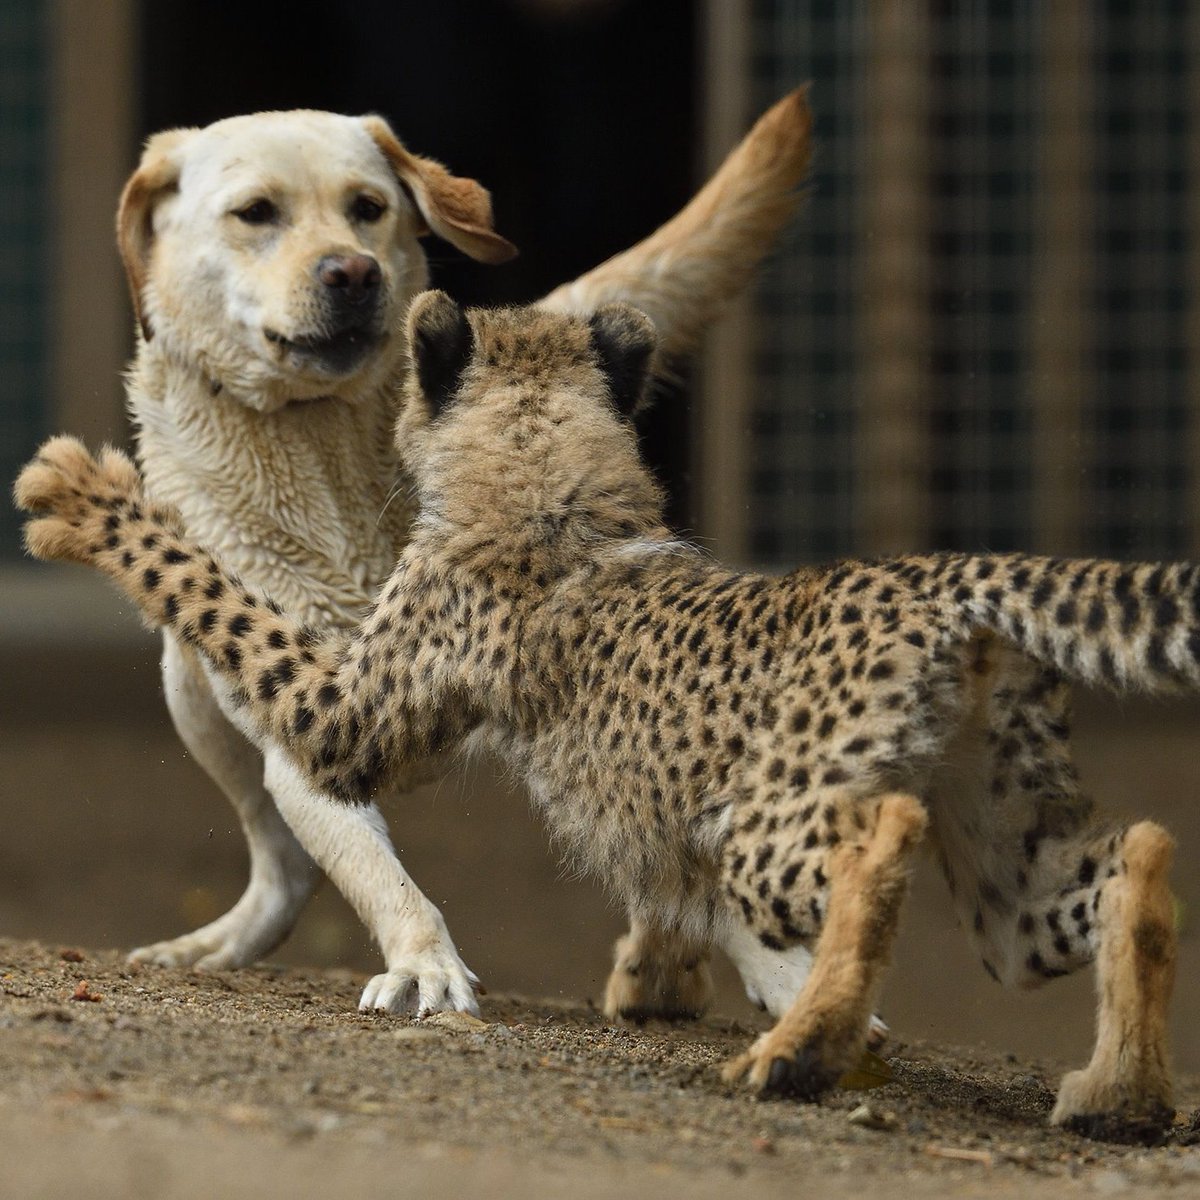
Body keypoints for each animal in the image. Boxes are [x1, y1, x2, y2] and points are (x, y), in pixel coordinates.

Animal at [114, 91, 816, 1012]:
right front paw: (426, 964)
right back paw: (216, 943)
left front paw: (787, 977)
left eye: (368, 208)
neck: (326, 446)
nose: (352, 273)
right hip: (190, 696)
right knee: (281, 867)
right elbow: (379, 873)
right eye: (255, 213)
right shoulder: (308, 732)